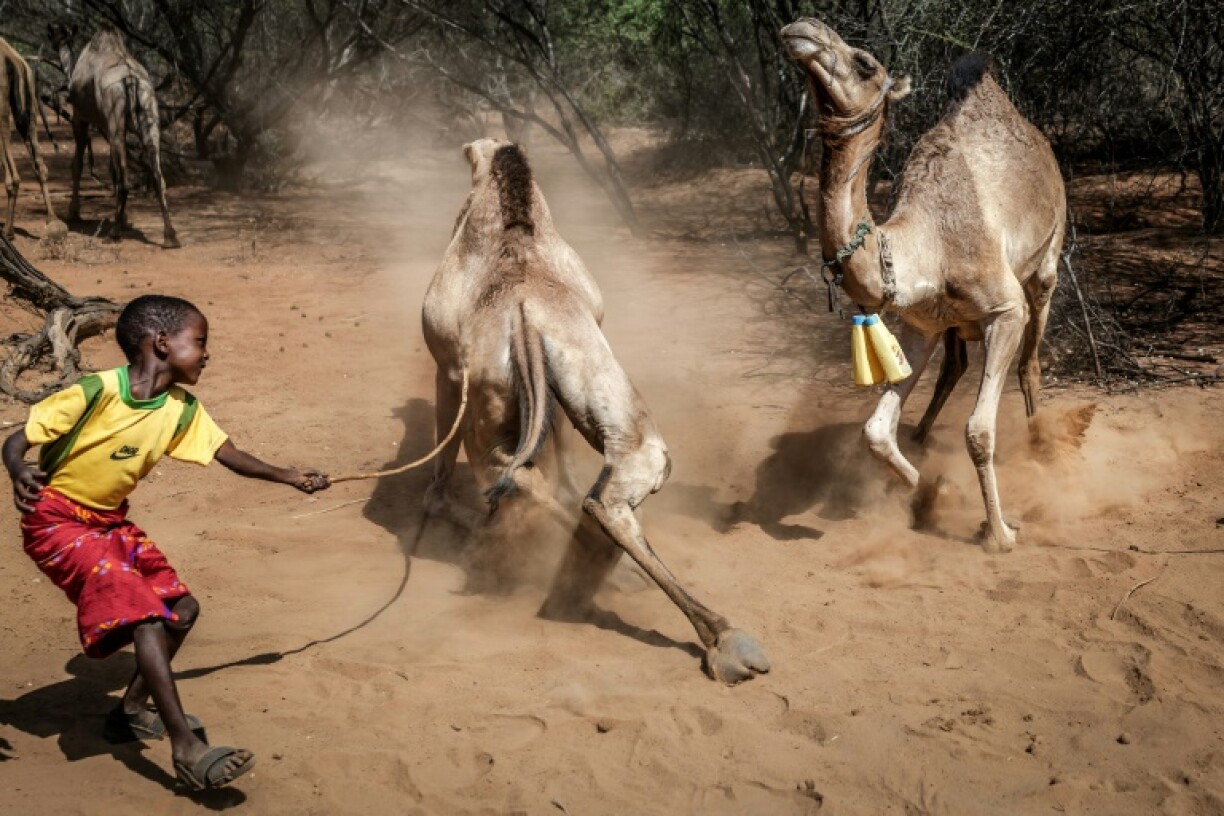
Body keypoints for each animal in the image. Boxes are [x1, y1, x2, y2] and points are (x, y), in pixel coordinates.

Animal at [0, 37, 64, 239]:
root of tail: (13, 58)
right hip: (29, 109)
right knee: (40, 165)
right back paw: (52, 220)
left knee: (13, 175)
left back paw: (8, 231)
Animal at [47, 22, 178, 248]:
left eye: (57, 34)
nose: (52, 41)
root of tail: (131, 79)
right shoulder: (108, 126)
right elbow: (111, 169)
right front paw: (125, 219)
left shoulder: (81, 118)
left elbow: (77, 165)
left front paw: (74, 212)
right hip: (149, 114)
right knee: (158, 175)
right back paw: (170, 236)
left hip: (114, 114)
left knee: (125, 180)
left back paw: (114, 233)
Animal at [422, 137, 770, 684]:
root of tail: (522, 313)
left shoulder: (449, 369)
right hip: (590, 379)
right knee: (611, 480)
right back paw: (723, 640)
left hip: (494, 390)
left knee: (514, 475)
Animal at [781, 19, 1066, 553]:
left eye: (864, 62)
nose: (803, 29)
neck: (927, 246)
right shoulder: (921, 325)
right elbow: (875, 431)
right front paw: (929, 489)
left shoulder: (1004, 310)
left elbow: (978, 431)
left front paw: (999, 533)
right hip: (955, 322)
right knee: (953, 367)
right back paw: (924, 438)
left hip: (1046, 262)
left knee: (1031, 361)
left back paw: (1042, 448)